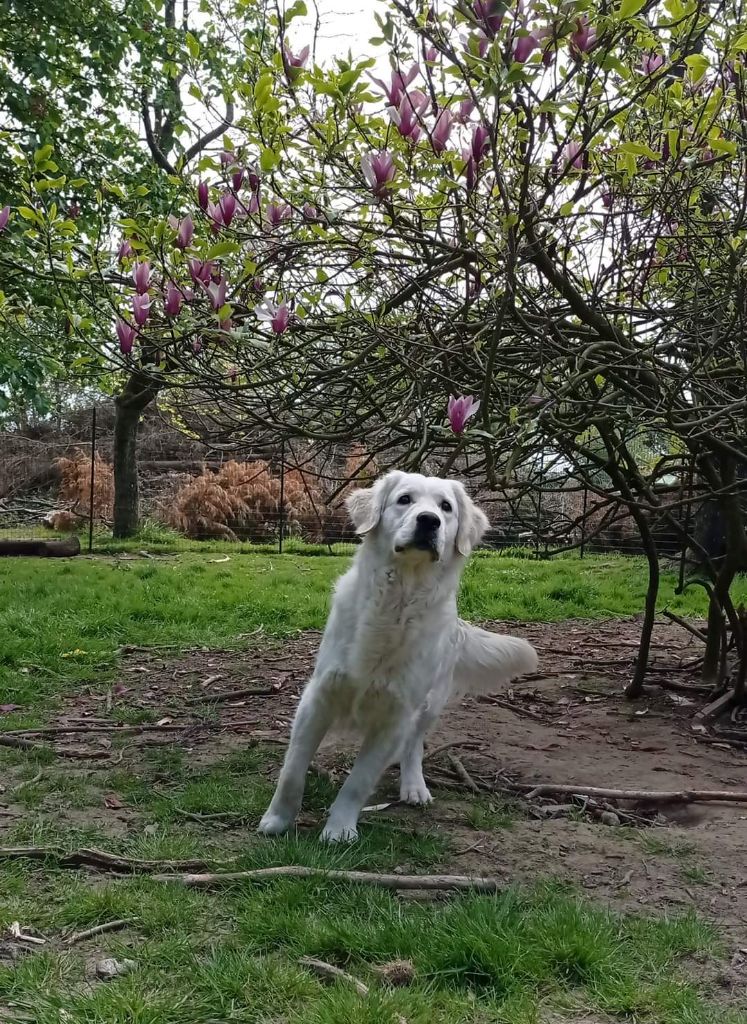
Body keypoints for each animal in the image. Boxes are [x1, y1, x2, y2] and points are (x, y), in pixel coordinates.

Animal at [258, 468, 536, 839]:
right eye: (404, 499)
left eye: (446, 507)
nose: (429, 521)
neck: (397, 600)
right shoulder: (319, 697)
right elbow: (292, 769)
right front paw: (277, 819)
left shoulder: (397, 714)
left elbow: (359, 781)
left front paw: (340, 828)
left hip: (430, 704)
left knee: (414, 745)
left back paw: (414, 786)